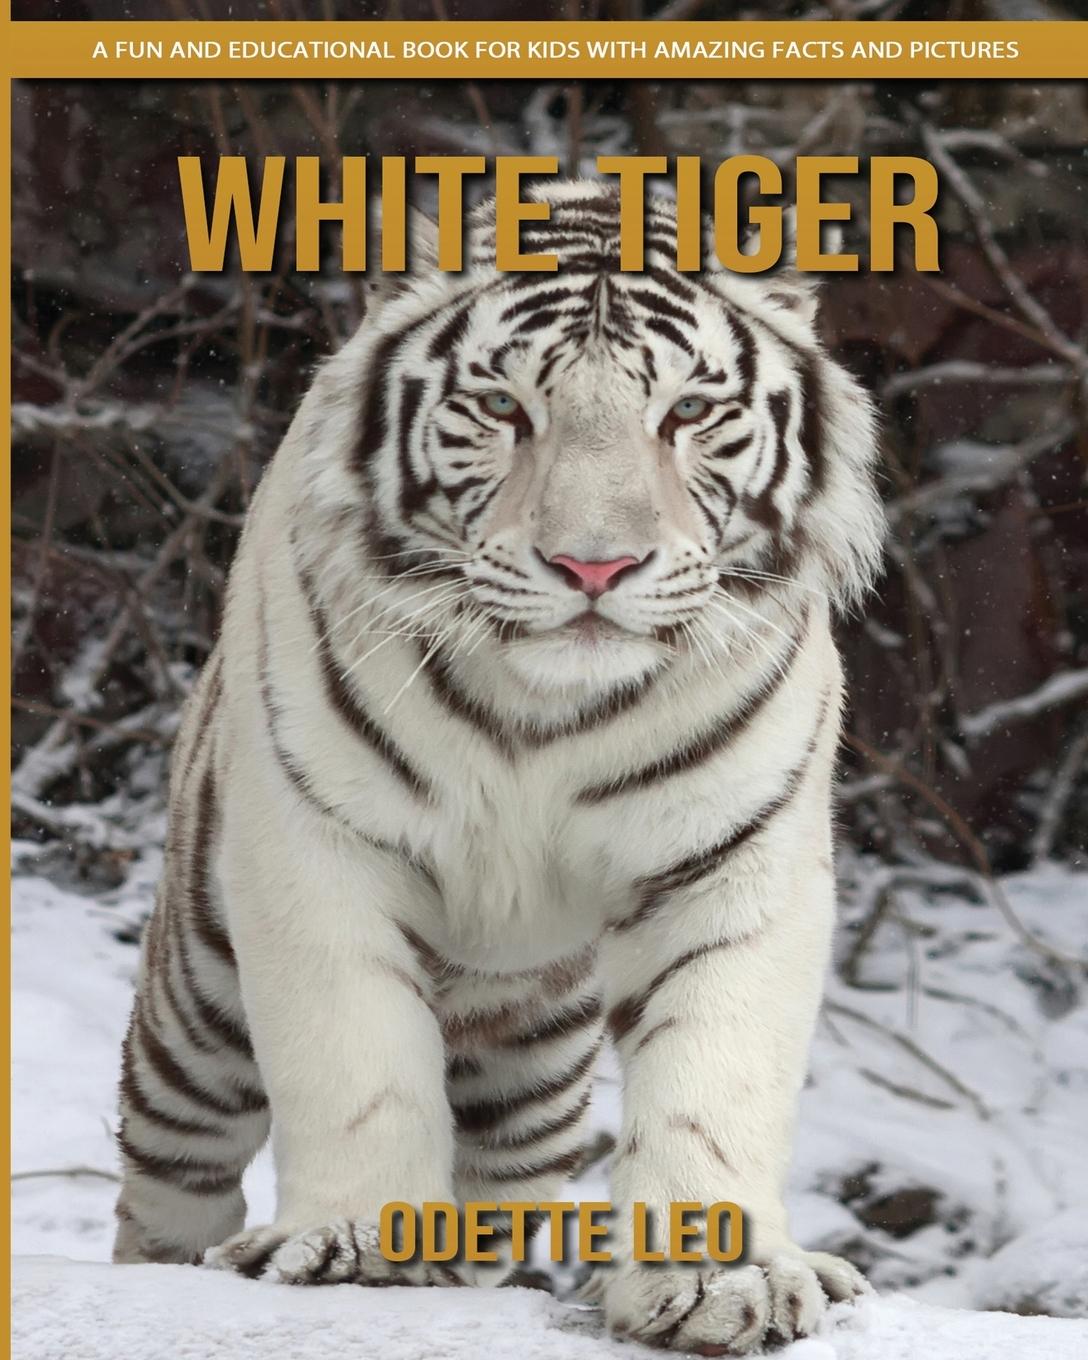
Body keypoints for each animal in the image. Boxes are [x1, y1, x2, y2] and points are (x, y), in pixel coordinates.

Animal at [112, 179, 884, 1353]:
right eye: (503, 408)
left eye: (687, 415)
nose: (594, 566)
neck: (544, 710)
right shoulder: (315, 847)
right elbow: (356, 1060)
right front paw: (357, 1245)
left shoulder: (735, 861)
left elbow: (712, 1080)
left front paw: (723, 1278)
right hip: (194, 1013)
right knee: (167, 1187)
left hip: (533, 1069)